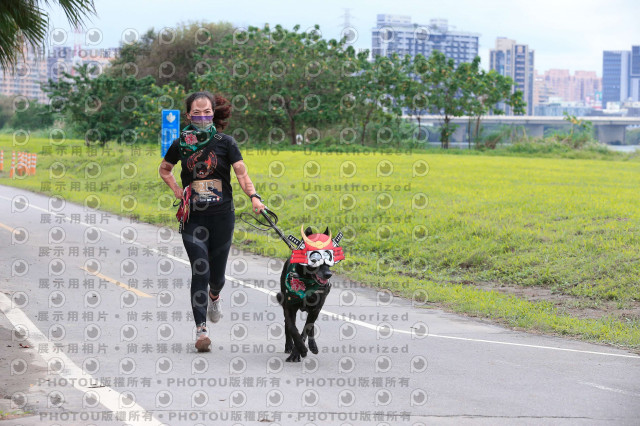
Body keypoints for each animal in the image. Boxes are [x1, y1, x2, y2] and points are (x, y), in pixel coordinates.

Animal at [276, 226, 344, 362]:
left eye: (329, 258)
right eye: (315, 259)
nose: (328, 275)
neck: (307, 280)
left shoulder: (315, 308)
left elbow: (305, 331)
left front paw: (297, 352)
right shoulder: (289, 307)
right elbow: (292, 328)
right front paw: (300, 348)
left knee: (310, 326)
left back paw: (312, 346)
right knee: (288, 324)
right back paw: (289, 345)